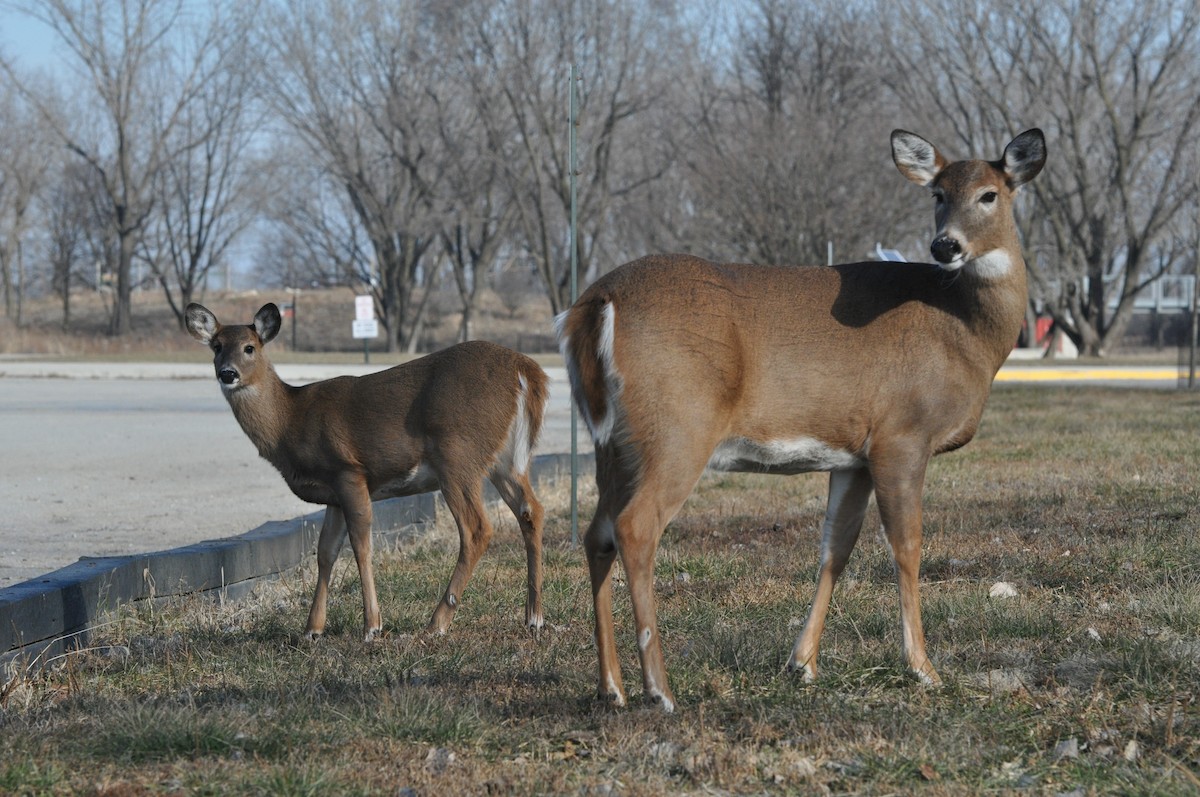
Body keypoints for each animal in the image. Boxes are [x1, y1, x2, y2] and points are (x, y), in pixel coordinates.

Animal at [185, 302, 549, 642]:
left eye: (249, 347)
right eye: (216, 346)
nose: (228, 373)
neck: (291, 419)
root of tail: (526, 369)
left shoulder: (349, 471)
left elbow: (361, 546)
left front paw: (372, 626)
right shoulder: (332, 494)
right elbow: (326, 553)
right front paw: (312, 629)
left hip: (458, 454)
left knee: (477, 529)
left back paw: (436, 624)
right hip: (504, 460)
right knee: (531, 510)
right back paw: (534, 617)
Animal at [555, 129, 1046, 712]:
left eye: (989, 194)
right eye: (938, 195)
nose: (945, 246)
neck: (965, 331)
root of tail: (595, 304)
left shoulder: (855, 455)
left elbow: (836, 547)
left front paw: (802, 663)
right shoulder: (902, 435)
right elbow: (906, 547)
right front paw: (924, 669)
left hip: (612, 442)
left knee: (597, 534)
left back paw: (612, 687)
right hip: (677, 428)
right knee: (634, 528)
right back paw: (660, 689)